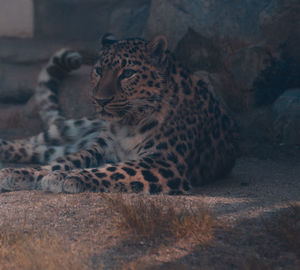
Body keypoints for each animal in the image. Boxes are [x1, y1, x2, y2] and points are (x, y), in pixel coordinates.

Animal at [0, 34, 239, 194]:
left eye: (128, 73)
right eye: (98, 71)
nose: (101, 100)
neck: (127, 123)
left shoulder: (164, 163)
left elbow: (112, 170)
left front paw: (66, 177)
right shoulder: (98, 149)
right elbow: (64, 162)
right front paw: (24, 174)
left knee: (42, 150)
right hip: (69, 128)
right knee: (34, 144)